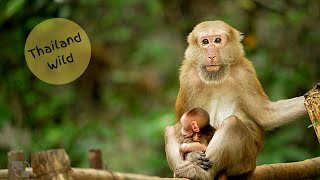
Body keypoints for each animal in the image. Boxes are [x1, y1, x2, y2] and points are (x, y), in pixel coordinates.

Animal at [164, 20, 312, 179]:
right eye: (205, 42)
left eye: (217, 40)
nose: (211, 55)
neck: (216, 78)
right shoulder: (188, 77)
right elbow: (183, 124)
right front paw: (192, 155)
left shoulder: (244, 73)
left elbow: (266, 115)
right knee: (170, 130)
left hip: (245, 161)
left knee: (232, 124)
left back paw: (201, 173)